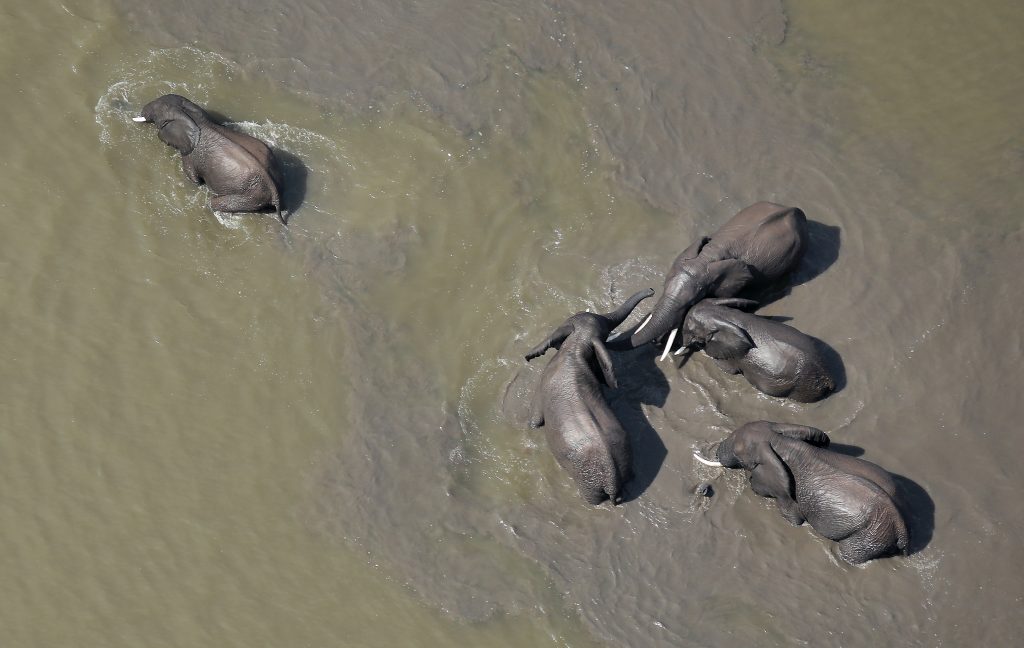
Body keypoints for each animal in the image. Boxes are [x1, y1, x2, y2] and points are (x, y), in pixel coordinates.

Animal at [133, 94, 286, 224]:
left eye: (156, 113)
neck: (194, 118)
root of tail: (274, 190)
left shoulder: (191, 155)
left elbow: (193, 179)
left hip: (250, 194)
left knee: (213, 203)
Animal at [525, 288, 654, 505]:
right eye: (606, 334)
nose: (652, 290)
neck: (577, 345)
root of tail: (612, 479)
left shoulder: (543, 383)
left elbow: (534, 421)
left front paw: (532, 426)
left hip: (587, 481)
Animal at [675, 297, 838, 402]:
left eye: (689, 328)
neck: (725, 314)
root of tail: (829, 379)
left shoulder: (732, 356)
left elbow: (727, 368)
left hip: (802, 387)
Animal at [694, 421, 909, 564]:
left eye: (738, 451)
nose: (714, 451)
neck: (779, 441)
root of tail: (902, 528)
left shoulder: (786, 495)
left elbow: (794, 518)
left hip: (871, 535)